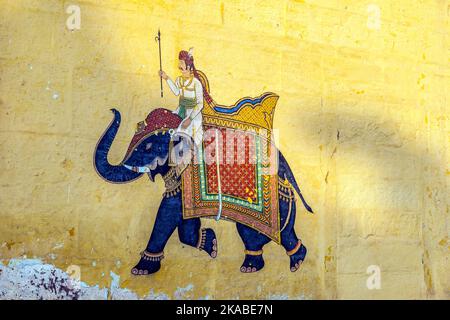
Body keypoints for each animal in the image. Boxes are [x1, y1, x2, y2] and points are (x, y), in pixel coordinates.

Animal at [94, 109, 312, 274]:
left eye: (148, 147)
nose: (112, 111)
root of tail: (284, 164)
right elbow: (185, 227)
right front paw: (212, 245)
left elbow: (166, 214)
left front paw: (141, 270)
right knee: (255, 231)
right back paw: (265, 264)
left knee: (273, 230)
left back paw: (289, 263)